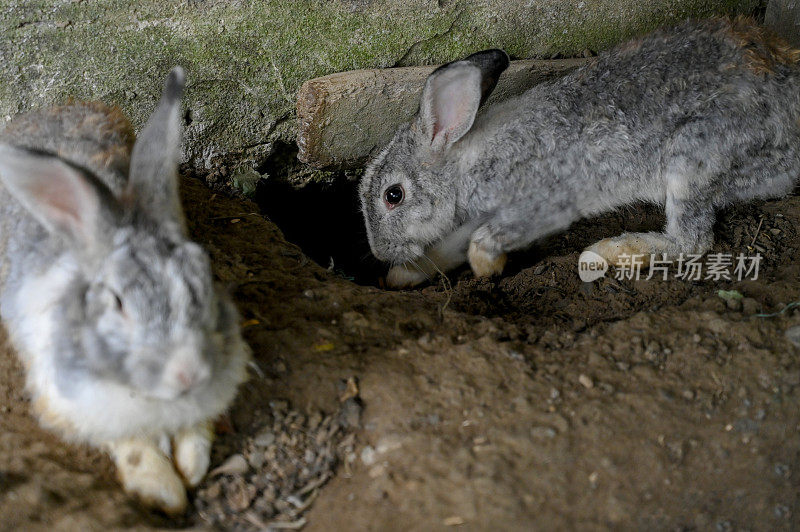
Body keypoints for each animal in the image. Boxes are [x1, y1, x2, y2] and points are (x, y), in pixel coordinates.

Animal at [0, 68, 248, 512]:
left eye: (203, 275)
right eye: (117, 304)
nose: (187, 373)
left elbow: (196, 432)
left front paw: (192, 468)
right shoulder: (76, 404)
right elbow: (133, 446)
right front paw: (163, 492)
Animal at [362, 17, 800, 286]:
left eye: (393, 195)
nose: (380, 253)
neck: (462, 165)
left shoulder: (537, 202)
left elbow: (484, 240)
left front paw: (487, 269)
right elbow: (450, 245)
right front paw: (404, 275)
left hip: (694, 155)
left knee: (692, 241)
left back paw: (606, 252)